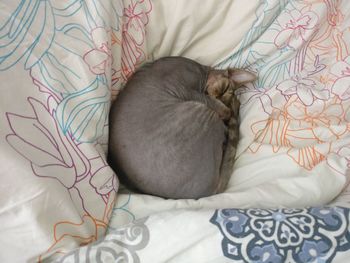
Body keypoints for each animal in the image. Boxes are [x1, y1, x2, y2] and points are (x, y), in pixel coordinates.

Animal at [108, 56, 256, 200]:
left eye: (225, 92)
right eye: (224, 88)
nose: (218, 98)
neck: (201, 70)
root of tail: (207, 193)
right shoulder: (189, 91)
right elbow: (224, 110)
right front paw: (227, 111)